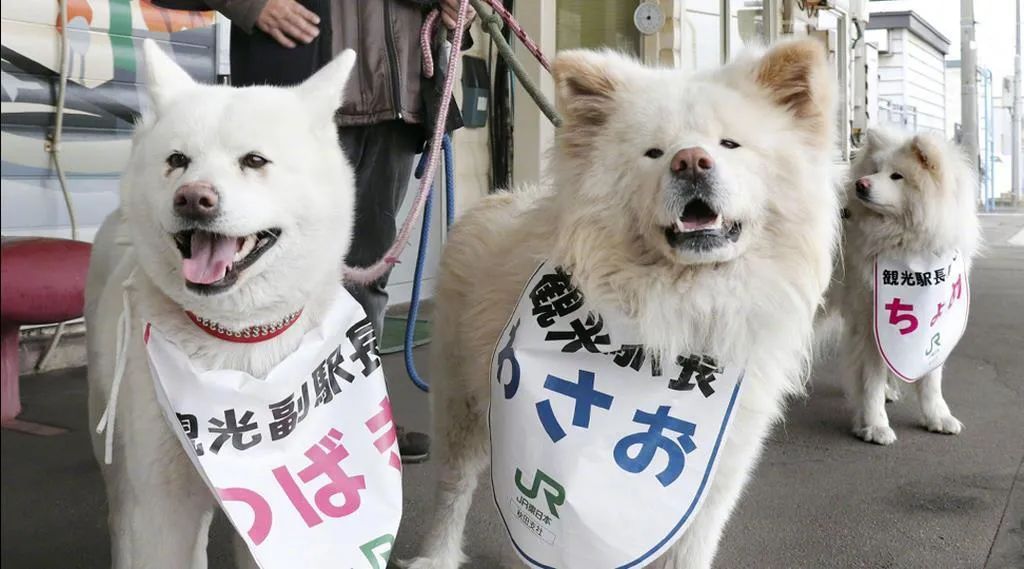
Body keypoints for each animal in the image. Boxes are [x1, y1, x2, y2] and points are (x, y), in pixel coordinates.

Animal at [405, 37, 839, 564]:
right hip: (460, 403)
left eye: (729, 145)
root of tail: (494, 198)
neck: (677, 314)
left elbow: (690, 548)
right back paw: (435, 556)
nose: (690, 161)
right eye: (654, 153)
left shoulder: (718, 469)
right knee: (453, 488)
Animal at [835, 127, 978, 444]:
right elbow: (871, 380)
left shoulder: (934, 324)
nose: (861, 184)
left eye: (896, 176)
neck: (906, 242)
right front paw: (875, 425)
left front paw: (937, 417)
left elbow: (931, 379)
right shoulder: (870, 324)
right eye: (875, 170)